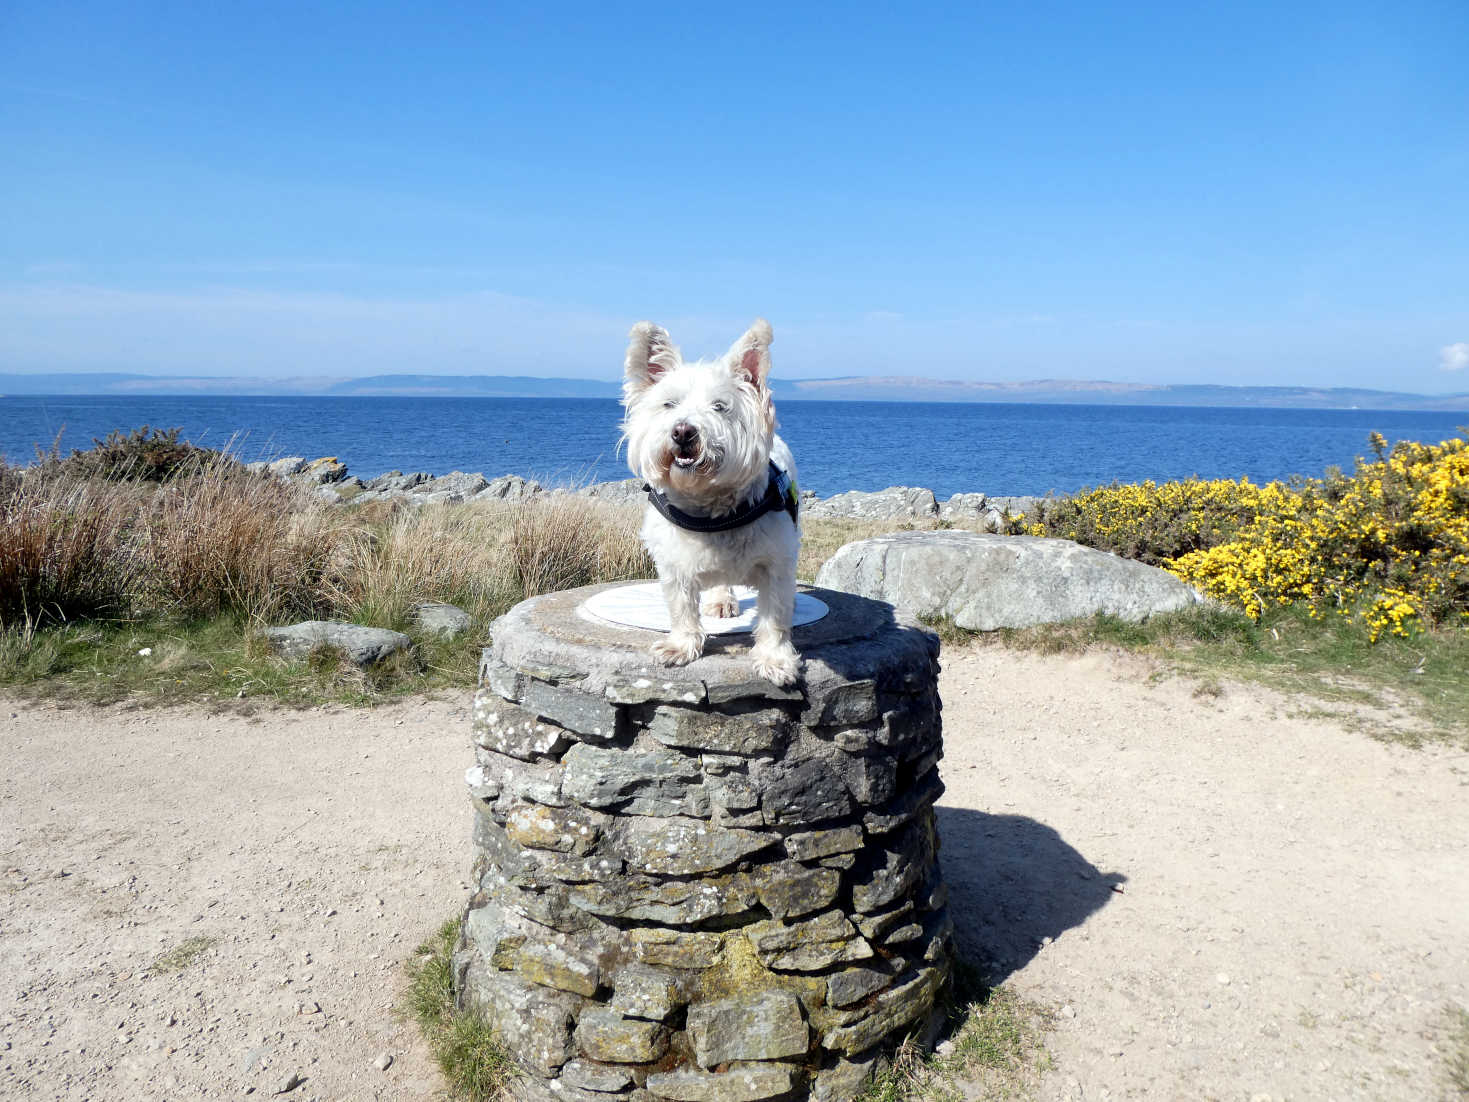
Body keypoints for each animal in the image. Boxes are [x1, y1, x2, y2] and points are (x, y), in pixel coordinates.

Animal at [619, 314, 805, 687]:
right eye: (669, 404)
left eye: (720, 407)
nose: (683, 432)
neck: (710, 512)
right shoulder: (673, 565)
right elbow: (680, 607)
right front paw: (680, 646)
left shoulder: (777, 563)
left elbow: (776, 614)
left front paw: (775, 659)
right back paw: (721, 600)